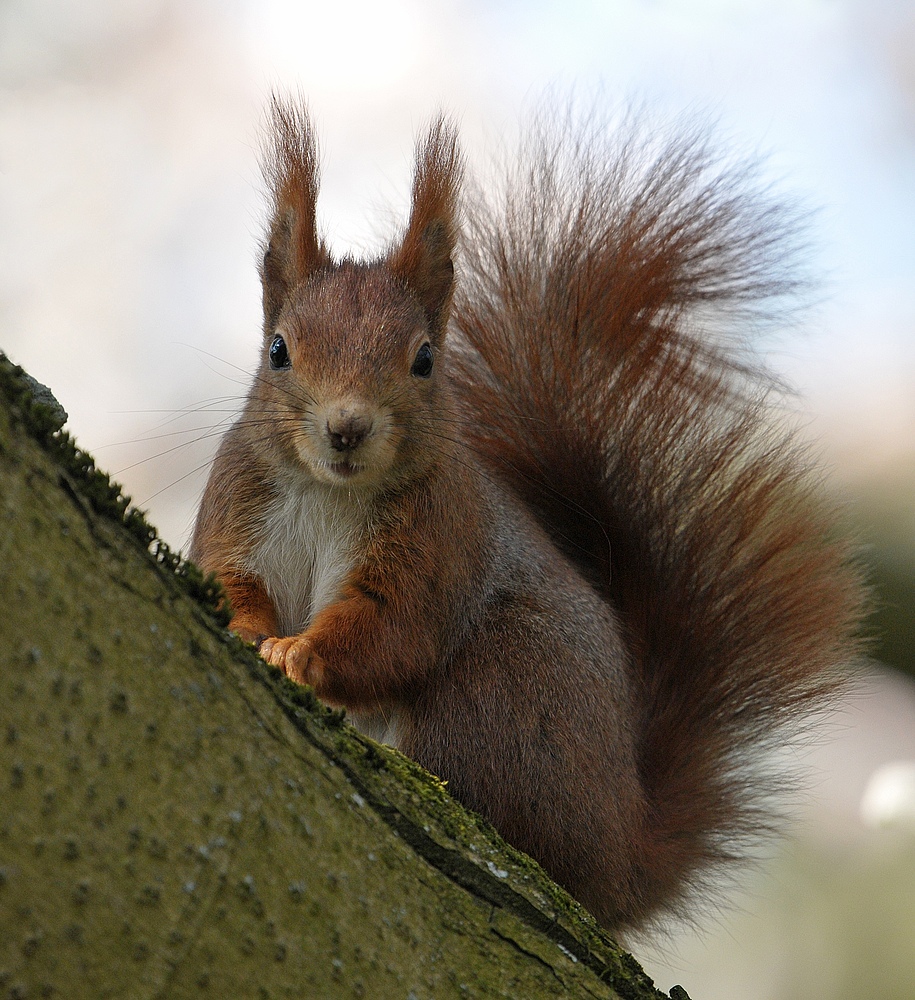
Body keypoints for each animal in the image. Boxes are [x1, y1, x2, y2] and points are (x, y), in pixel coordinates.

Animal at [191, 97, 864, 932]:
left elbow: (395, 627)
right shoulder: (238, 507)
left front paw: (304, 656)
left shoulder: (438, 538)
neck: (329, 492)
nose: (346, 429)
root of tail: (621, 852)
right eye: (278, 349)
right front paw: (251, 630)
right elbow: (231, 580)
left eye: (424, 359)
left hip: (500, 689)